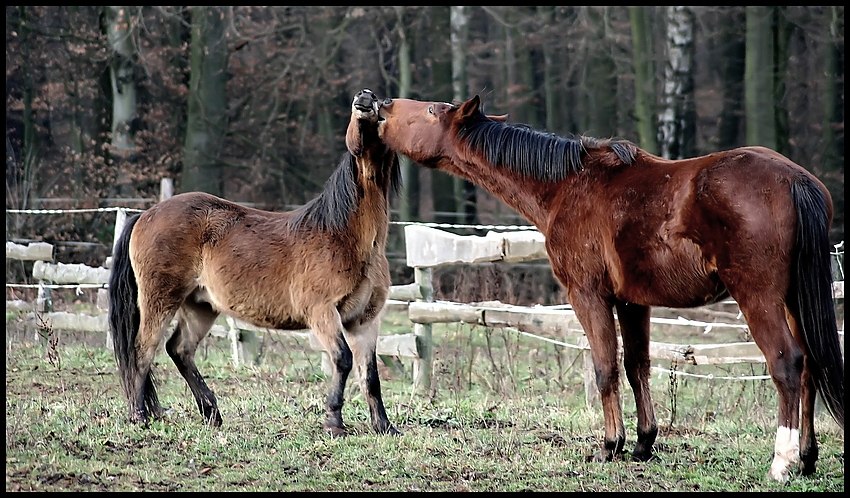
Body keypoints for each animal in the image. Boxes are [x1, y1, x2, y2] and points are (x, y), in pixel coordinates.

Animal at [109, 89, 400, 436]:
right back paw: (140, 416)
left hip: (200, 306)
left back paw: (211, 413)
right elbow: (342, 360)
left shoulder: (364, 321)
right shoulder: (322, 313)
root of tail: (145, 215)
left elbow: (370, 374)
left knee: (179, 350)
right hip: (160, 300)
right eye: (356, 116)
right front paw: (334, 421)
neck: (345, 236)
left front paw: (384, 426)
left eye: (381, 110)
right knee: (142, 351)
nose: (364, 98)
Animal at [376, 94, 840, 482]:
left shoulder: (588, 295)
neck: (567, 186)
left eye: (432, 110)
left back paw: (781, 463)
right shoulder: (634, 303)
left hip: (759, 299)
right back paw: (807, 458)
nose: (380, 104)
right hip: (794, 302)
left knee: (787, 364)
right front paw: (643, 443)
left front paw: (609, 445)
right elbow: (637, 366)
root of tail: (796, 181)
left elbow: (605, 368)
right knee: (810, 368)